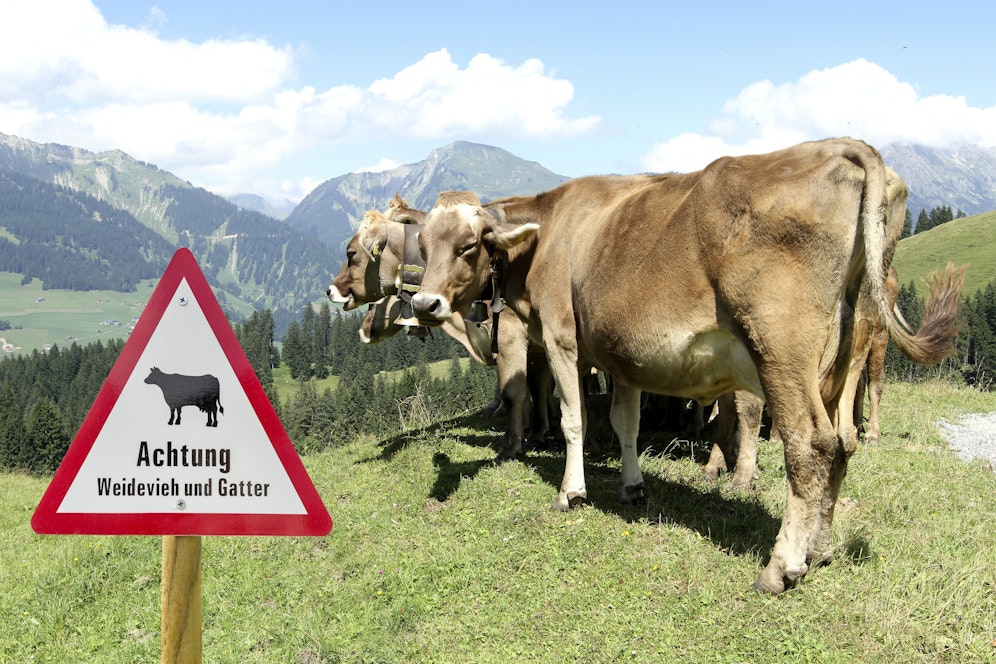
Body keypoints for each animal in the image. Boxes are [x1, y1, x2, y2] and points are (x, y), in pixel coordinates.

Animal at [409, 138, 964, 593]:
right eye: (423, 245)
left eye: (467, 246)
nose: (424, 304)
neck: (548, 233)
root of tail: (839, 145)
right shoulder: (623, 356)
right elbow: (625, 424)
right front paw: (632, 487)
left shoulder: (564, 340)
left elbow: (574, 420)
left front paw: (571, 492)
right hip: (843, 355)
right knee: (844, 444)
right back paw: (820, 548)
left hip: (781, 353)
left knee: (811, 447)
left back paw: (782, 566)